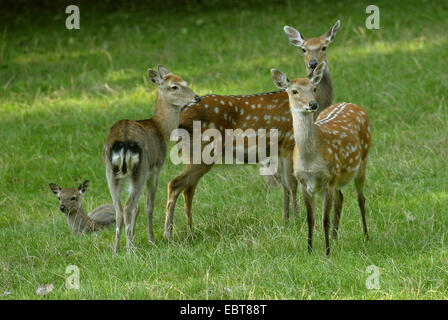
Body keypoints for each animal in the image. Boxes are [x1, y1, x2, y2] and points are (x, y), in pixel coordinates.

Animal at [103, 64, 201, 250]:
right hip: (139, 169)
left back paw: (116, 249)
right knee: (128, 206)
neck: (160, 129)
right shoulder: (155, 169)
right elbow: (148, 206)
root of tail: (123, 142)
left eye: (185, 82)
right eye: (174, 87)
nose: (197, 97)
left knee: (119, 208)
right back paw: (129, 250)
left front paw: (135, 238)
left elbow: (138, 208)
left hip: (110, 172)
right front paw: (152, 240)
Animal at [163, 20, 342, 240]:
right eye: (304, 48)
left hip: (193, 154)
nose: (313, 64)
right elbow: (292, 183)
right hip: (203, 151)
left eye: (324, 46)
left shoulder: (278, 149)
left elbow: (284, 184)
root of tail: (181, 115)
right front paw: (295, 218)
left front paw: (285, 218)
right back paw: (168, 234)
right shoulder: (288, 141)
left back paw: (190, 229)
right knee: (175, 184)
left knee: (188, 188)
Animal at [272, 62, 372, 256]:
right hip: (339, 177)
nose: (312, 104)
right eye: (294, 91)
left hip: (362, 160)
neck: (310, 160)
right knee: (341, 198)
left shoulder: (328, 181)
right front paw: (309, 250)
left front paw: (326, 252)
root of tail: (355, 105)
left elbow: (324, 219)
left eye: (314, 88)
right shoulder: (304, 183)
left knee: (361, 198)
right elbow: (310, 219)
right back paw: (335, 236)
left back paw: (366, 236)